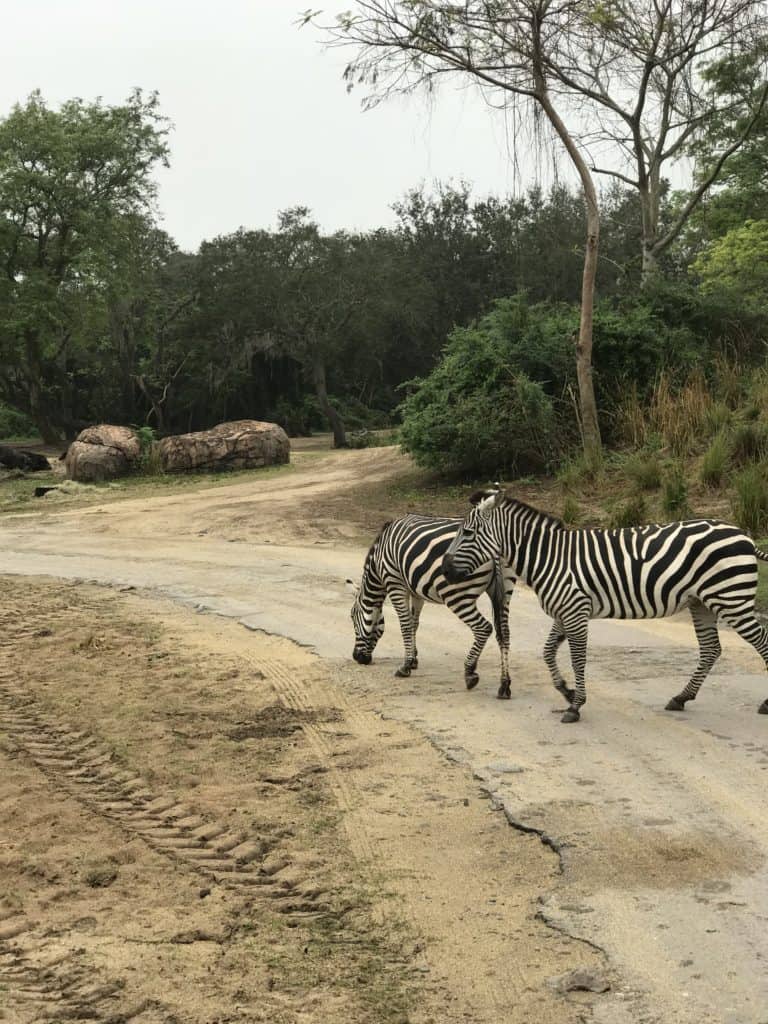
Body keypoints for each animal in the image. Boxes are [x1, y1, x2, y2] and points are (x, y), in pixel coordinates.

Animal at [348, 513, 516, 696]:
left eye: (352, 617)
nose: (357, 657)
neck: (378, 564)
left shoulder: (395, 582)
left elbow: (405, 625)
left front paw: (405, 667)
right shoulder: (415, 590)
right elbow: (414, 624)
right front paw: (413, 659)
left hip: (456, 594)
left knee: (483, 628)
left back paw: (470, 673)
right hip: (505, 591)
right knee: (504, 634)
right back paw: (504, 685)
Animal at [442, 487, 768, 723]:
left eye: (467, 533)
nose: (444, 570)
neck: (549, 557)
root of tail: (744, 535)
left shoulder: (575, 611)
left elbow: (578, 659)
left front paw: (575, 706)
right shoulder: (564, 611)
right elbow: (547, 653)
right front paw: (566, 690)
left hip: (731, 599)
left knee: (761, 642)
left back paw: (764, 703)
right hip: (702, 602)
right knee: (711, 649)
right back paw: (681, 698)